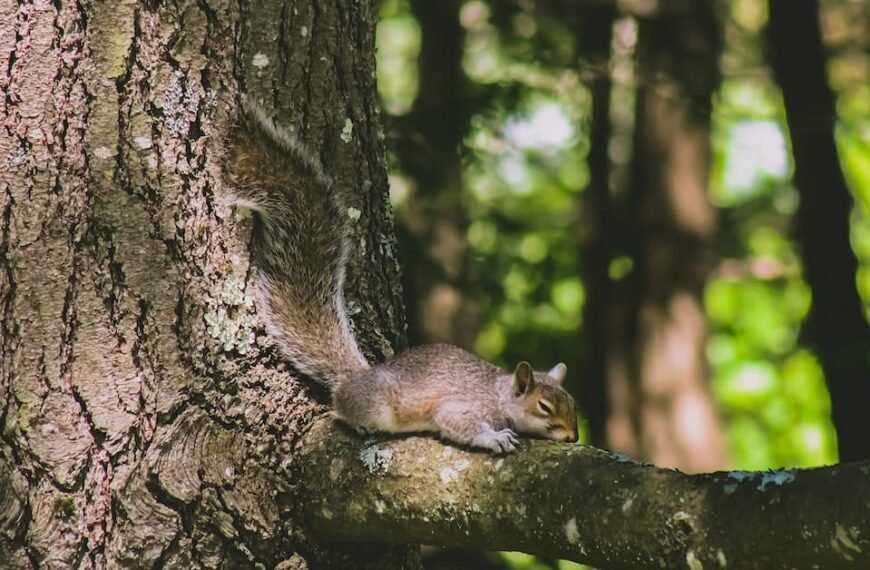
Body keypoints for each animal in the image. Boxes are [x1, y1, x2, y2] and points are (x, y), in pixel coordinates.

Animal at [223, 98, 580, 452]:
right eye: (544, 406)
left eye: (573, 404)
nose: (573, 437)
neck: (500, 396)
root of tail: (353, 378)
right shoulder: (460, 405)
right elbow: (458, 422)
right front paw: (493, 437)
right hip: (377, 406)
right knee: (339, 409)